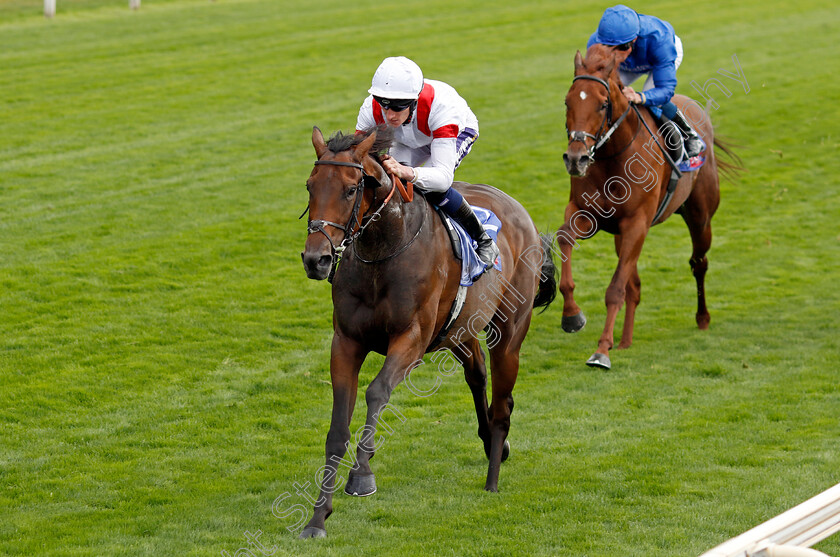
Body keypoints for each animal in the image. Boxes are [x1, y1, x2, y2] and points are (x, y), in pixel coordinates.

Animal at [298, 127, 556, 540]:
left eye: (352, 189)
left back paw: (493, 478)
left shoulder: (411, 339)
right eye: (310, 185)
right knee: (477, 375)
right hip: (460, 331)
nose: (316, 259)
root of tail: (519, 210)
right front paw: (318, 518)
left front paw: (362, 475)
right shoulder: (347, 342)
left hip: (510, 331)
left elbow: (377, 392)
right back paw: (491, 444)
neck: (383, 250)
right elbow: (337, 428)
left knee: (503, 405)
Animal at [560, 45, 740, 368]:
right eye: (567, 102)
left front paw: (601, 351)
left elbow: (615, 289)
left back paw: (702, 318)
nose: (576, 158)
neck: (613, 156)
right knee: (635, 285)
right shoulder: (585, 212)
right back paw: (625, 340)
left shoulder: (637, 223)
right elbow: (564, 238)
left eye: (603, 104)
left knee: (698, 263)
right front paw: (572, 316)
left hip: (700, 218)